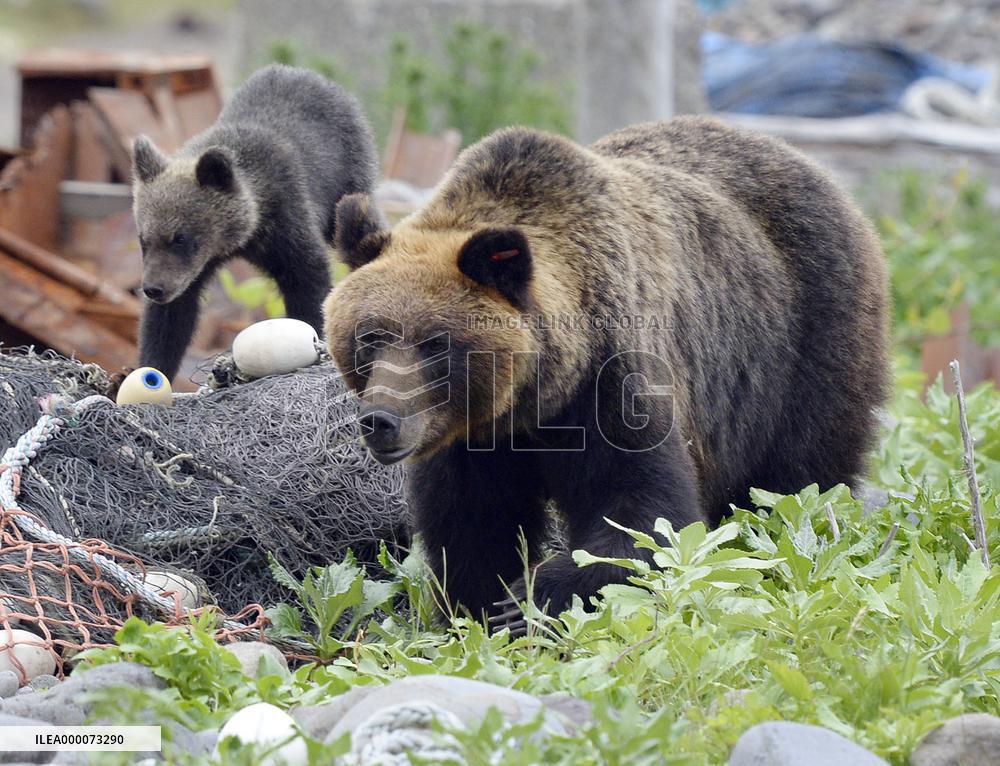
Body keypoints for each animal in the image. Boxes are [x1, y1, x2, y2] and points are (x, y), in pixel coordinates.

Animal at [131, 64, 379, 381]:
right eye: (143, 239)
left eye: (181, 238)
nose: (153, 288)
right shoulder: (192, 271)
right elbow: (171, 320)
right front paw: (149, 367)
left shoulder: (287, 216)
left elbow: (307, 276)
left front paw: (312, 337)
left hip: (347, 175)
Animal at [323, 116, 889, 633]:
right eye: (369, 336)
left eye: (435, 344)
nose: (381, 420)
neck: (536, 400)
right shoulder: (471, 438)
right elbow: (472, 526)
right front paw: (481, 609)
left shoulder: (615, 383)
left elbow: (642, 515)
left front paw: (529, 598)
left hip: (806, 341)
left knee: (797, 479)